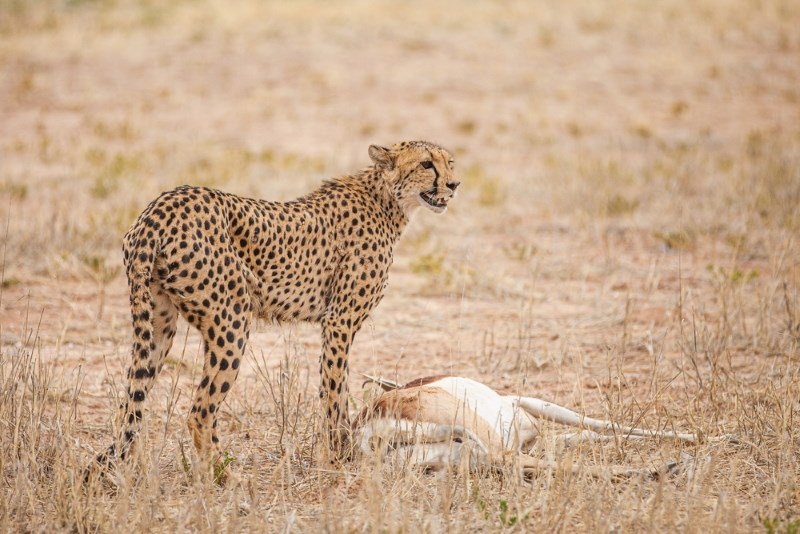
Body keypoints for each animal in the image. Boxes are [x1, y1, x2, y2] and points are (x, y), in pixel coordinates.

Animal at [93, 140, 460, 473]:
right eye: (427, 163)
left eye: (450, 161)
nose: (454, 185)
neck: (386, 200)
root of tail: (158, 207)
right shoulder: (339, 321)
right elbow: (335, 389)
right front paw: (336, 459)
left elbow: (336, 387)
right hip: (231, 320)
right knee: (200, 411)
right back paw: (225, 477)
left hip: (157, 324)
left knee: (130, 405)